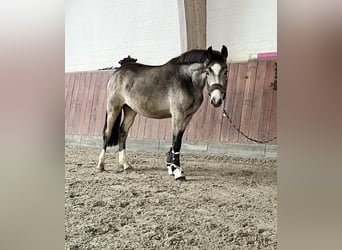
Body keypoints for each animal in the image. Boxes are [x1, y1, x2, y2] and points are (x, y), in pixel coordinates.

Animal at [96, 46, 228, 181]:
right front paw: (178, 172)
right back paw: (100, 165)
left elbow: (178, 139)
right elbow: (176, 142)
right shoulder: (178, 114)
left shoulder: (187, 116)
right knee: (107, 133)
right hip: (113, 108)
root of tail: (117, 72)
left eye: (226, 71)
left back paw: (125, 165)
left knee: (122, 132)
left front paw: (171, 166)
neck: (186, 79)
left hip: (130, 110)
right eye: (208, 71)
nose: (217, 100)